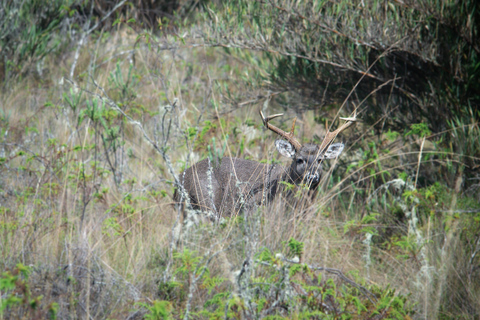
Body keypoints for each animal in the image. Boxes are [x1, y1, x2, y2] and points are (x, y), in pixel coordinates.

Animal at [174, 110, 358, 220]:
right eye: (299, 159)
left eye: (320, 160)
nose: (312, 176)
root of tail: (179, 181)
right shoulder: (254, 208)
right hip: (206, 203)